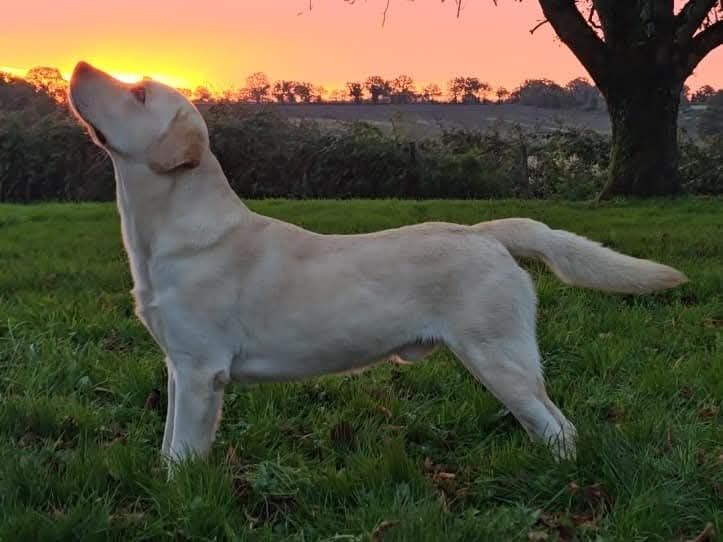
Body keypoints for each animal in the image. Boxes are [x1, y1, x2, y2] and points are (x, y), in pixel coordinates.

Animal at [70, 59, 688, 468]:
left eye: (139, 93)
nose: (77, 63)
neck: (163, 233)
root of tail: (483, 233)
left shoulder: (202, 371)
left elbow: (183, 456)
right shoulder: (179, 367)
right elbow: (168, 445)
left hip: (500, 360)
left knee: (559, 427)